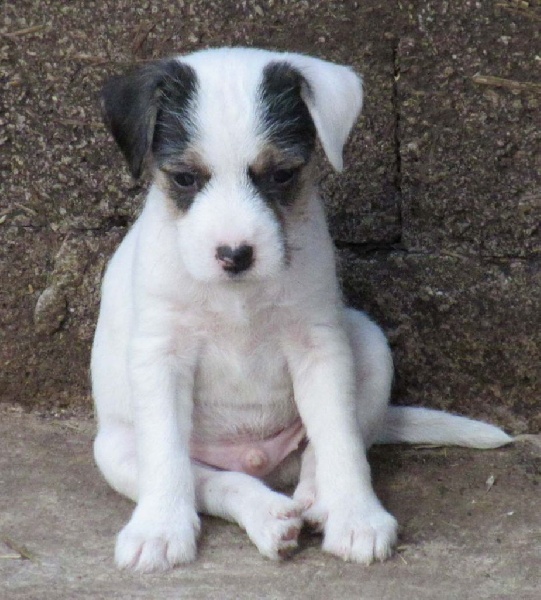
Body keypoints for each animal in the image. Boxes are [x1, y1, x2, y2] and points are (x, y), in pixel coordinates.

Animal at [90, 47, 508, 572]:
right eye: (185, 178)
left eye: (282, 175)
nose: (234, 254)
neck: (239, 296)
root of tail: (261, 461)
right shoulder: (160, 355)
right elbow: (167, 455)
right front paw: (159, 528)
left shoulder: (319, 347)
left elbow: (340, 441)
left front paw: (357, 516)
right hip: (116, 450)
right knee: (210, 481)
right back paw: (268, 516)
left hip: (368, 345)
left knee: (325, 446)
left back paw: (317, 500)